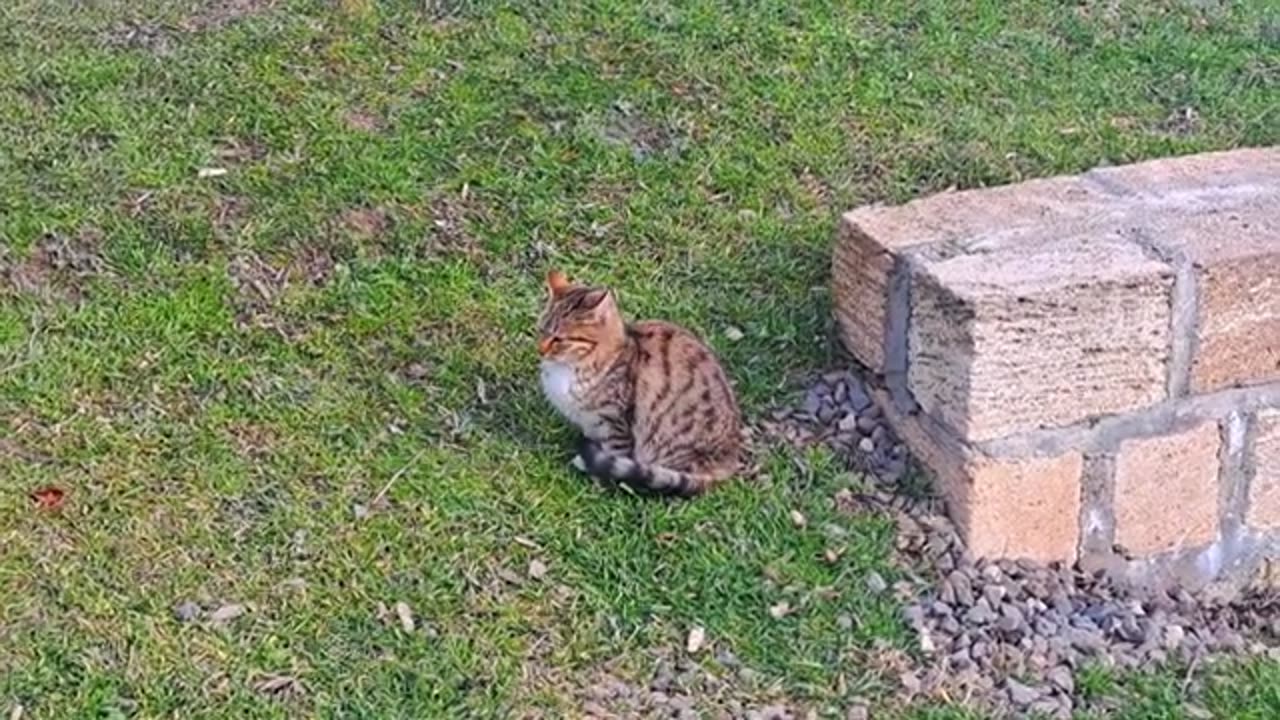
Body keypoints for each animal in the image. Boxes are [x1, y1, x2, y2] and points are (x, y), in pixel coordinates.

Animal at [537, 266, 742, 497]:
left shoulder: (614, 423)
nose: (540, 350)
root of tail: (729, 460)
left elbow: (615, 457)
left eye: (559, 339)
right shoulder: (591, 424)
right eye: (541, 330)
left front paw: (599, 482)